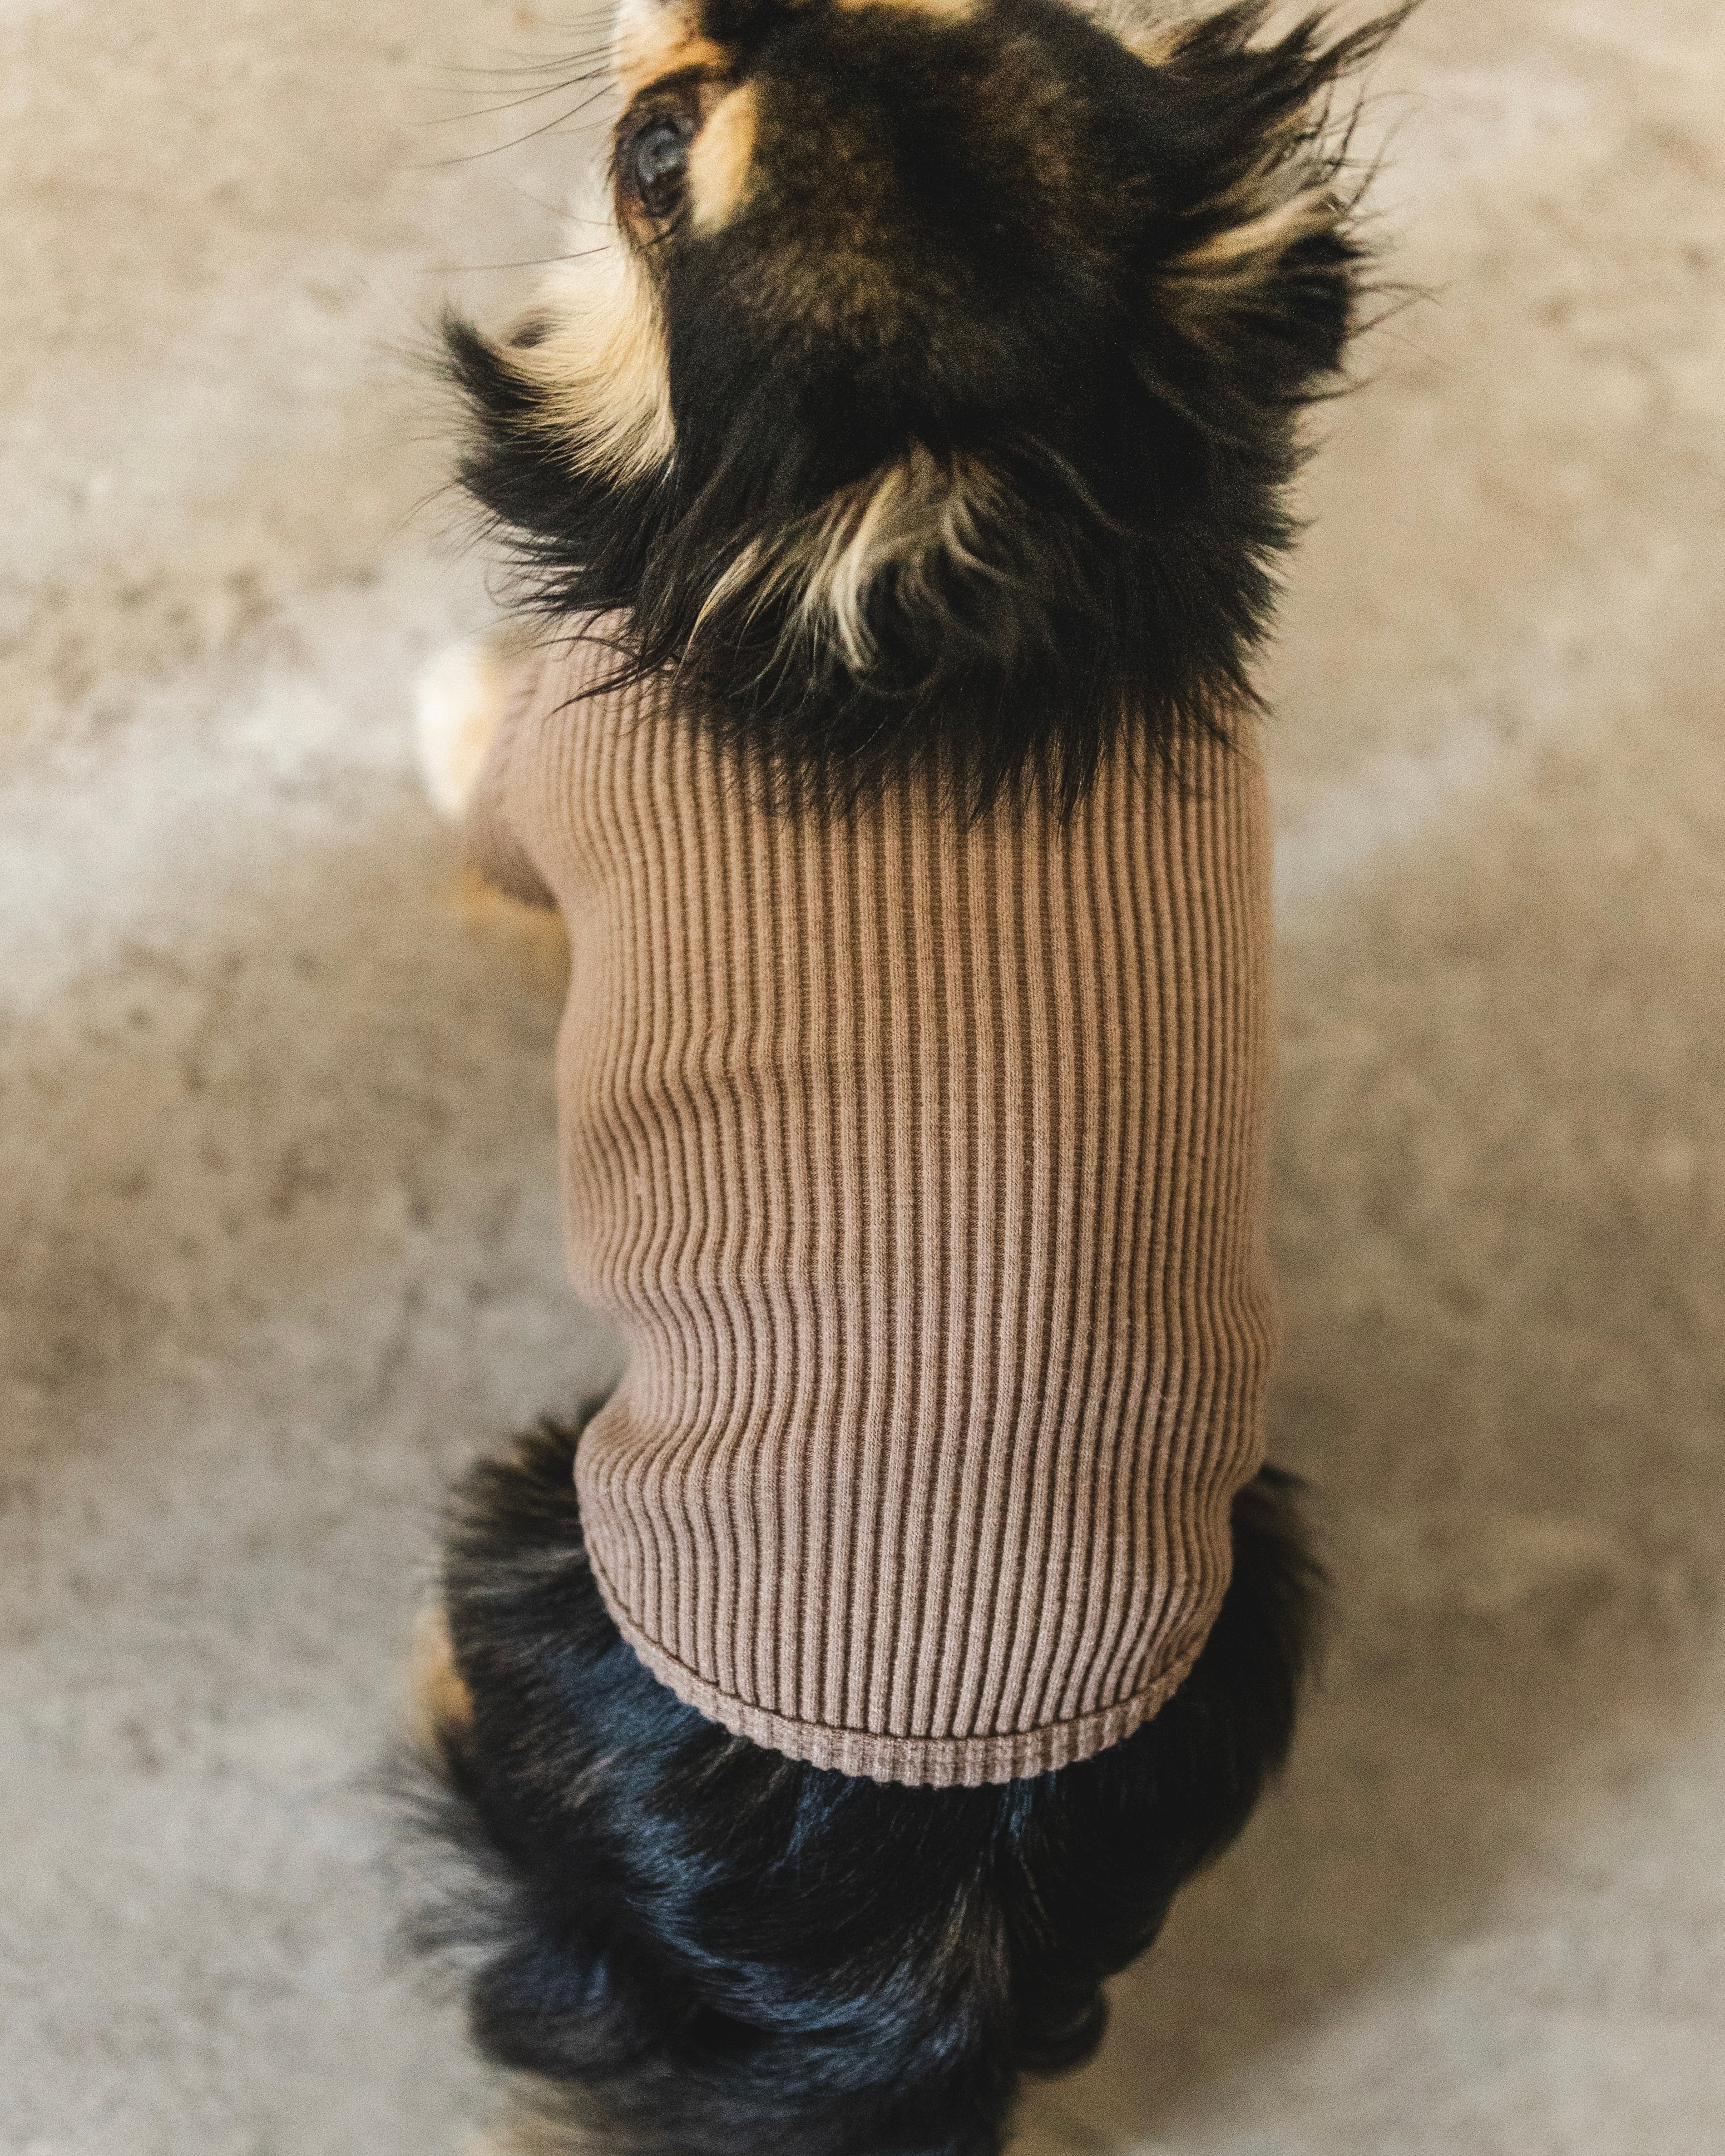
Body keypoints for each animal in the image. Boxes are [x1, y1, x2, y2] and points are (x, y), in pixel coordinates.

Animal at [406, 3, 1405, 2150]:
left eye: (661, 164)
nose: (692, 24)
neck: (1039, 591)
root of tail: (918, 1946)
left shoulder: (556, 783)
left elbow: (479, 763)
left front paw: (431, 703)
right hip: (1260, 1580)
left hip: (536, 1523)